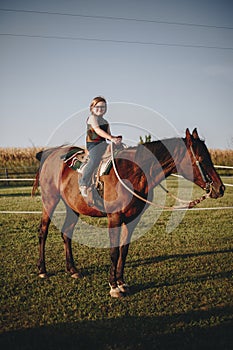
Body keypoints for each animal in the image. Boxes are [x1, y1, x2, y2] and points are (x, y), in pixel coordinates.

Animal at [32, 129, 224, 298]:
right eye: (201, 159)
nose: (220, 188)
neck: (133, 173)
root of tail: (50, 154)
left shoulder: (132, 219)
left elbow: (123, 250)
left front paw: (122, 283)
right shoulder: (115, 218)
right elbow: (114, 252)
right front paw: (113, 287)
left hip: (73, 207)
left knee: (67, 234)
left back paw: (72, 270)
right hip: (50, 200)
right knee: (43, 232)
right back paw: (42, 270)